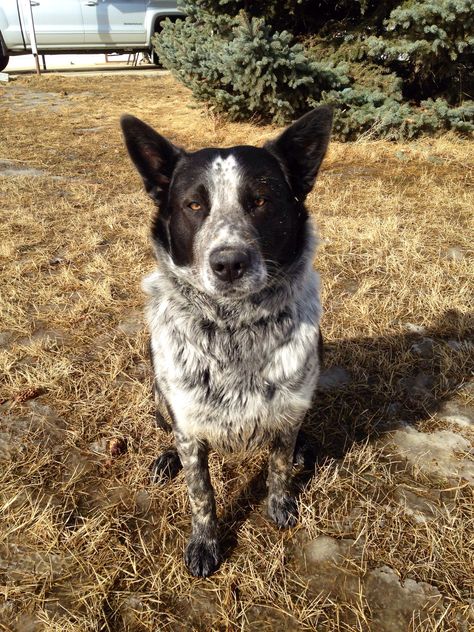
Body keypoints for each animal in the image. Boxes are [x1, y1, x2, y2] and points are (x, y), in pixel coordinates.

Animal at [120, 107, 332, 576]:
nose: (229, 263)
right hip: (158, 399)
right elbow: (201, 493)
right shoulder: (188, 425)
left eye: (261, 201)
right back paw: (165, 460)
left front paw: (280, 504)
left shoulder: (288, 412)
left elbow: (278, 467)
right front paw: (205, 543)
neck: (235, 328)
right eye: (194, 205)